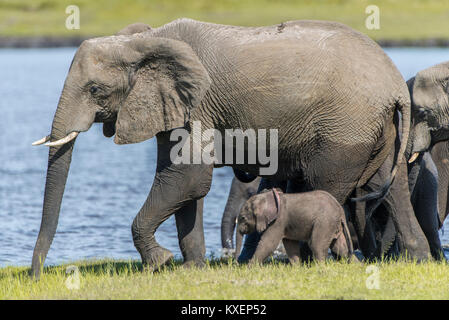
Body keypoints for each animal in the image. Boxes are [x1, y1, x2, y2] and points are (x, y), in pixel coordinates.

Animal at [29, 18, 426, 278]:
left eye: (95, 90)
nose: (35, 276)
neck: (144, 40)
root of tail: (395, 84)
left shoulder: (199, 103)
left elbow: (187, 177)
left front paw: (161, 263)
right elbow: (186, 185)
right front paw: (192, 269)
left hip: (343, 131)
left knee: (326, 186)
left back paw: (311, 263)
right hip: (379, 130)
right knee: (389, 188)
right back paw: (417, 259)